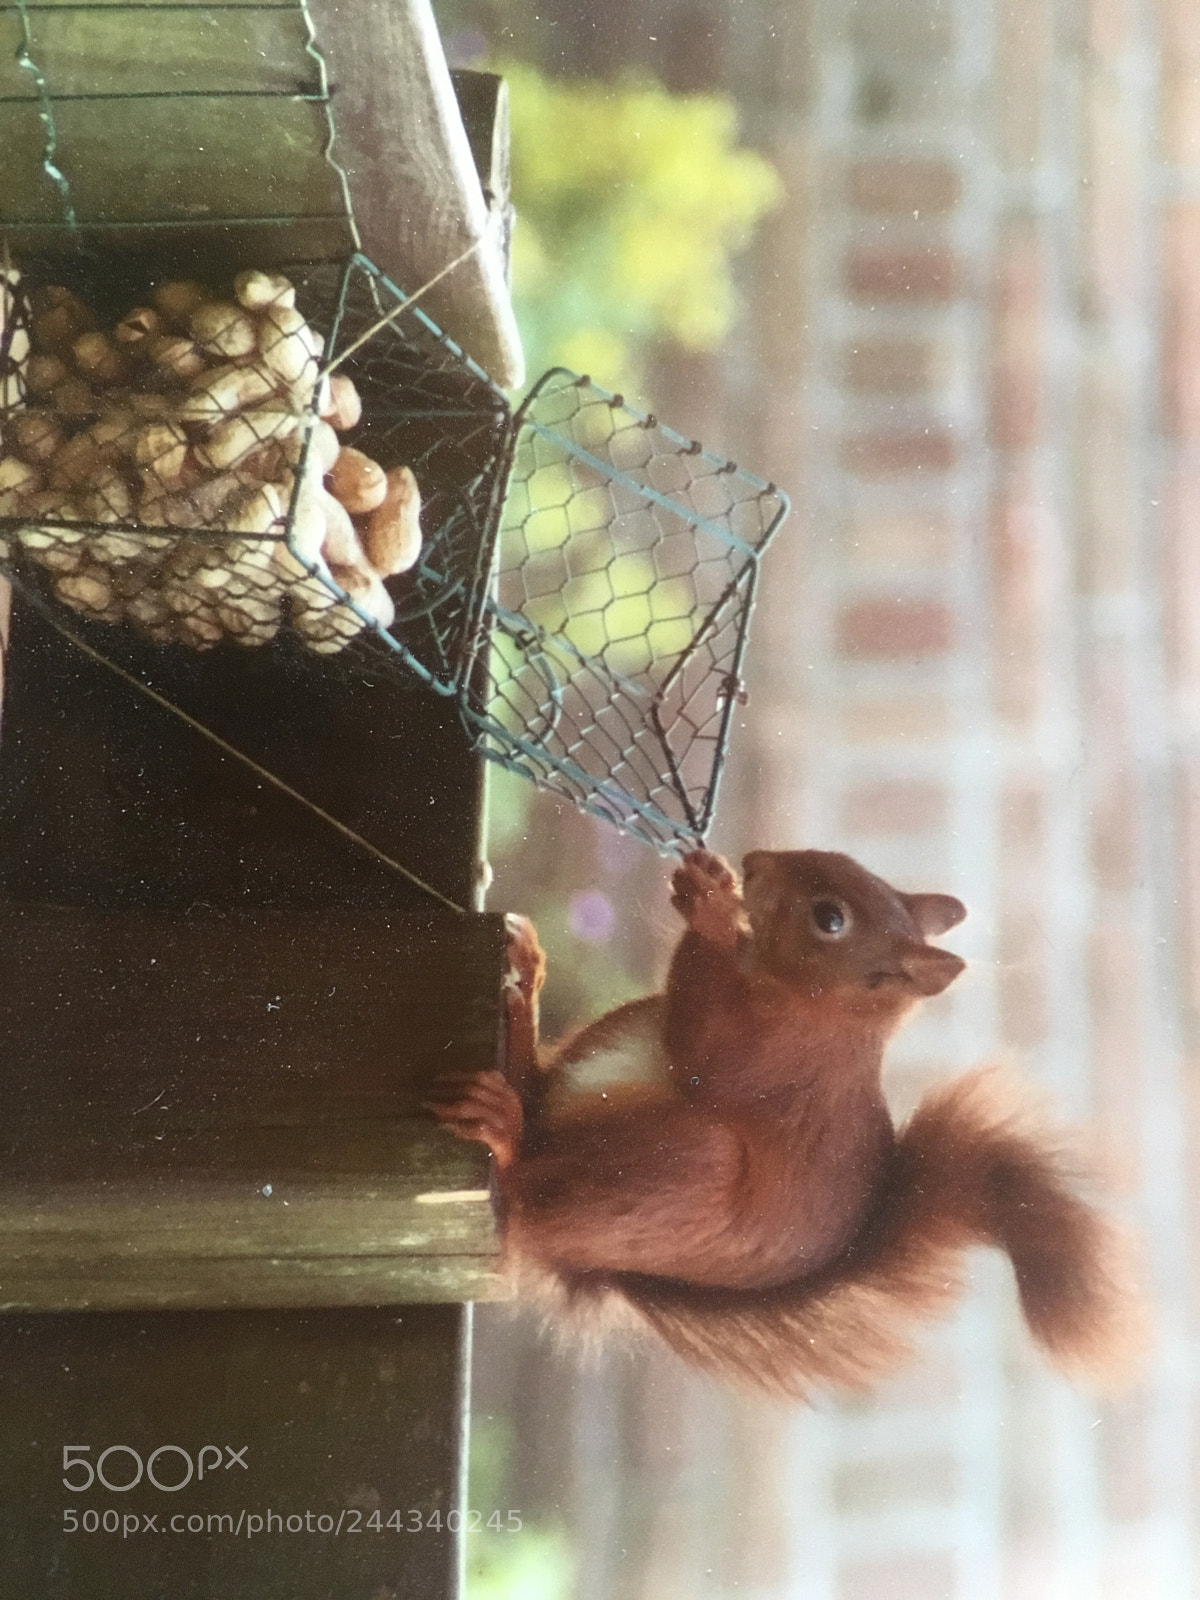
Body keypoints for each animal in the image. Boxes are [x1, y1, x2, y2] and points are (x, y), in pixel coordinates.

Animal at [427, 848, 1143, 1399]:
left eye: (830, 918)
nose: (754, 862)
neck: (820, 1008)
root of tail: (588, 1266)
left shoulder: (774, 1065)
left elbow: (704, 1055)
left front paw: (712, 906)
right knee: (533, 1086)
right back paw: (524, 991)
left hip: (679, 1173)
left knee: (531, 1184)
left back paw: (506, 1134)